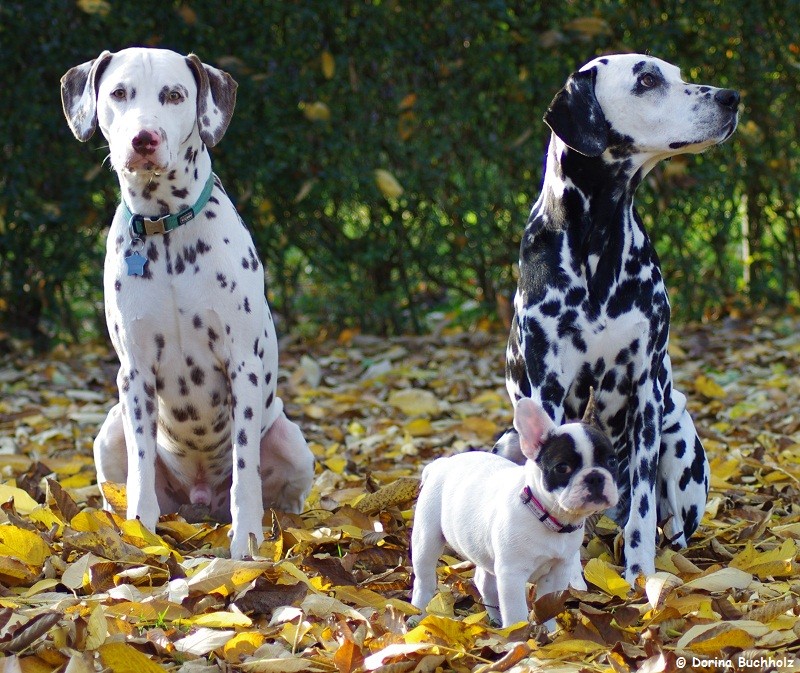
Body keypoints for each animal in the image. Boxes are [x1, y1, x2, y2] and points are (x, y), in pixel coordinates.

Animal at [412, 392, 620, 628]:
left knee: (484, 581)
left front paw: (549, 631)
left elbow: (547, 603)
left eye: (612, 461)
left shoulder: (558, 571)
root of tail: (442, 463)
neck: (548, 516)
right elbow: (517, 612)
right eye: (562, 468)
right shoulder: (512, 575)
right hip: (426, 538)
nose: (595, 476)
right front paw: (517, 634)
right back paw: (417, 614)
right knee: (424, 578)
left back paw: (495, 619)